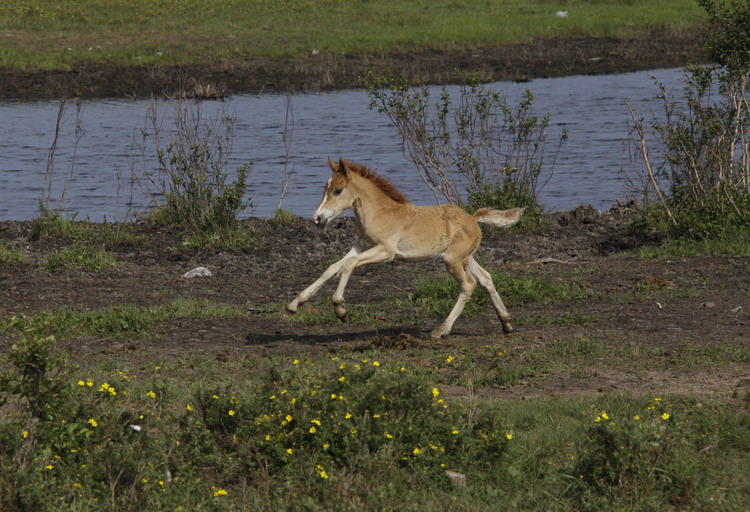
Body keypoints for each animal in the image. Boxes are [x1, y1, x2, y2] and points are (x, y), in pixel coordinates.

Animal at [284, 158, 524, 338]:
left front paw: (340, 309)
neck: (378, 212)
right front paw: (293, 305)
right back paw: (506, 323)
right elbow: (332, 268)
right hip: (463, 257)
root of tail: (473, 219)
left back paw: (440, 331)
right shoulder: (361, 246)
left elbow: (349, 265)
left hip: (452, 260)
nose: (318, 218)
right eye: (325, 189)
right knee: (485, 279)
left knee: (468, 285)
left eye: (338, 191)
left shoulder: (386, 251)